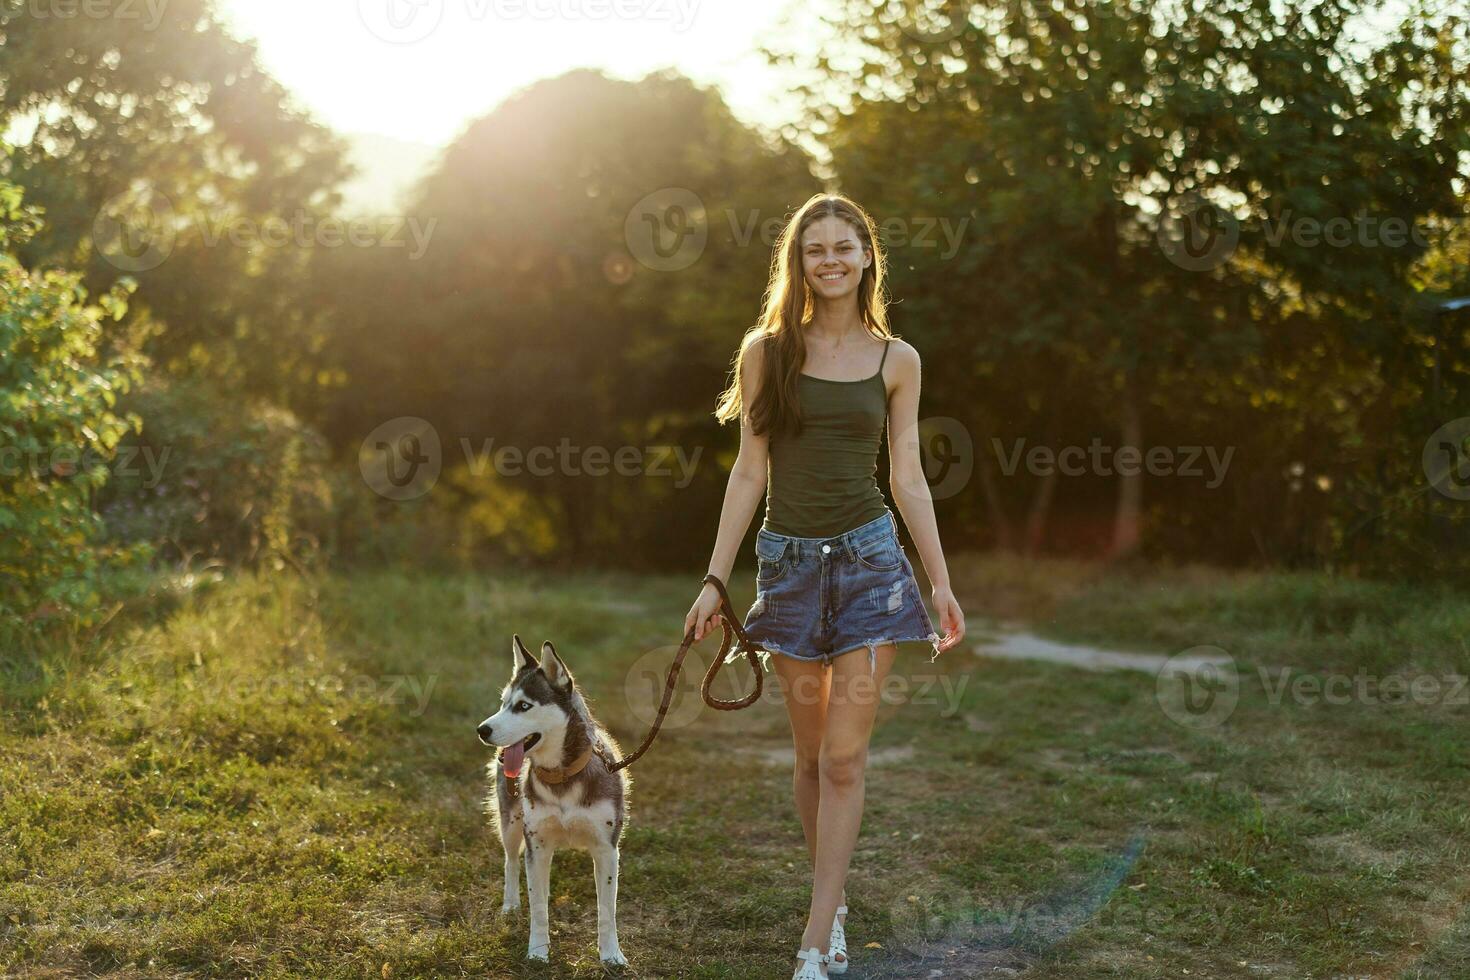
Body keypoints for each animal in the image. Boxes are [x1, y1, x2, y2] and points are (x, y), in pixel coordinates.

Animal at [473, 637, 629, 963]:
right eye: (503, 703)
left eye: (523, 706)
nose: (482, 730)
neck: (562, 776)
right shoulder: (538, 846)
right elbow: (539, 907)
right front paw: (537, 952)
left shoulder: (607, 849)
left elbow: (607, 910)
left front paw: (611, 955)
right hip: (511, 822)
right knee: (510, 860)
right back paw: (510, 905)